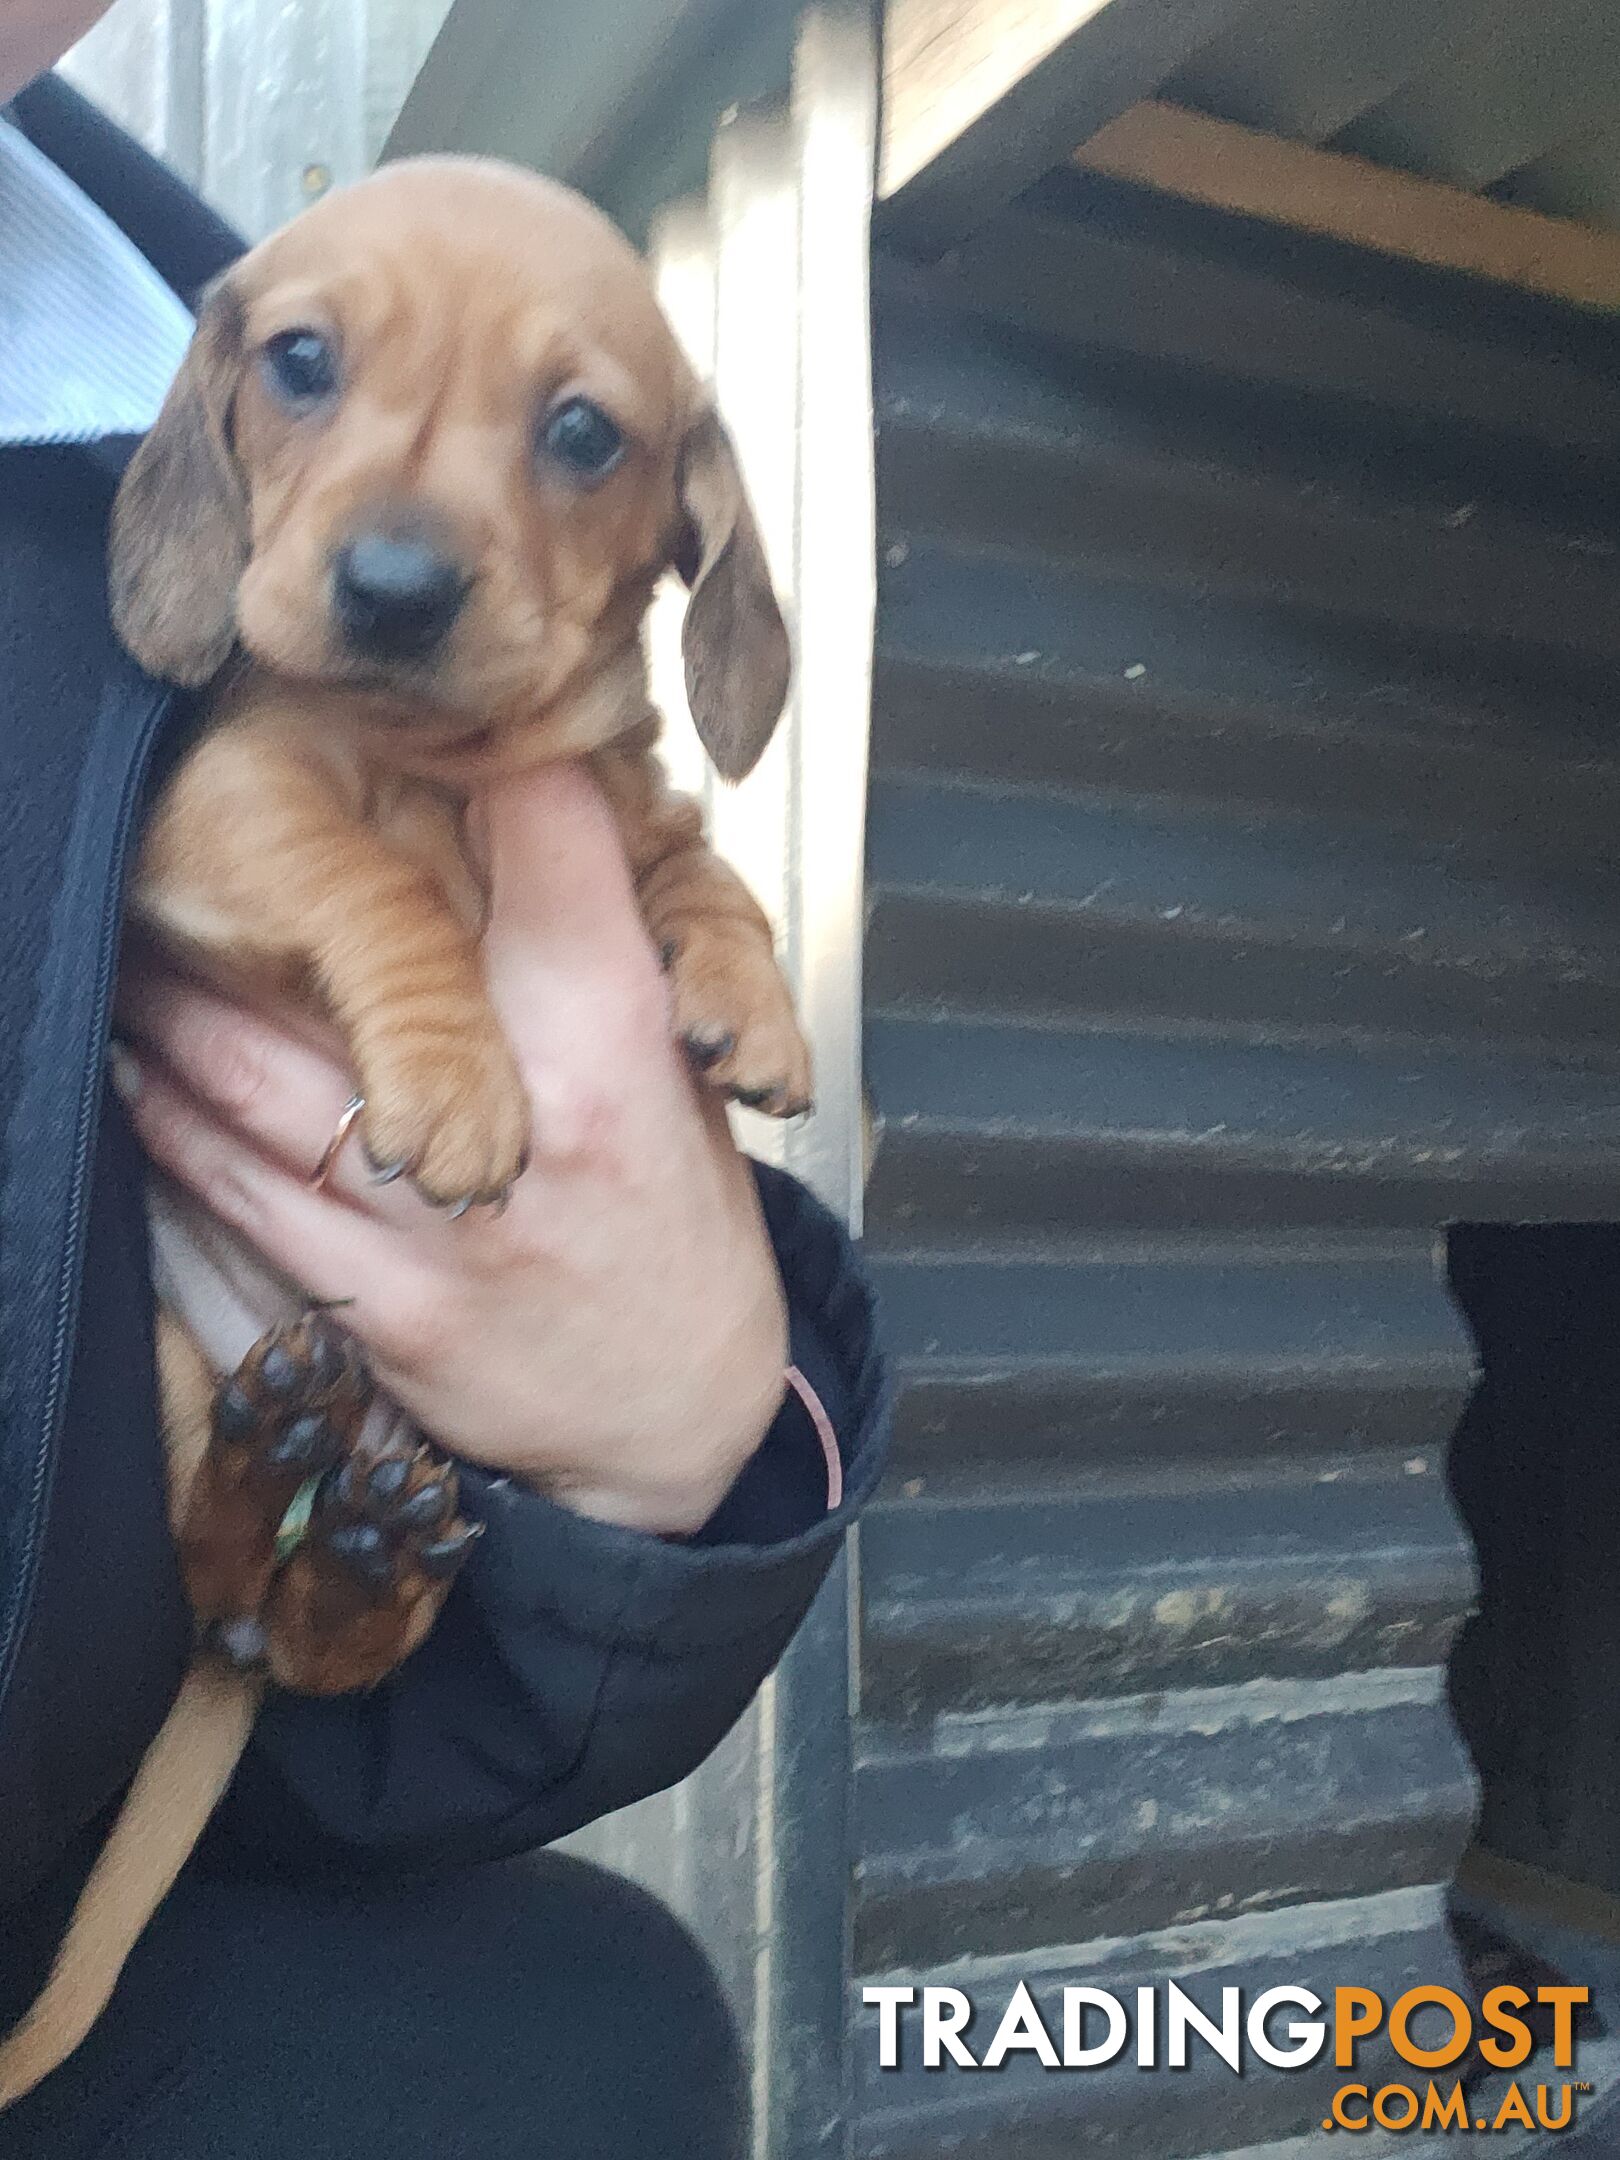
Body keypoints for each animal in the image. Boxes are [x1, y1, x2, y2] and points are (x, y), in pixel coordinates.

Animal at [0, 156, 812, 2108]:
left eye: (583, 430)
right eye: (299, 361)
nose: (389, 590)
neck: (446, 759)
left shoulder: (622, 798)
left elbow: (689, 851)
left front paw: (748, 992)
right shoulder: (222, 810)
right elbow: (361, 871)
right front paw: (456, 1080)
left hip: (462, 1489)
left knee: (320, 1632)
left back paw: (352, 1557)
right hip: (169, 1366)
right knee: (209, 1572)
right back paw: (275, 1475)